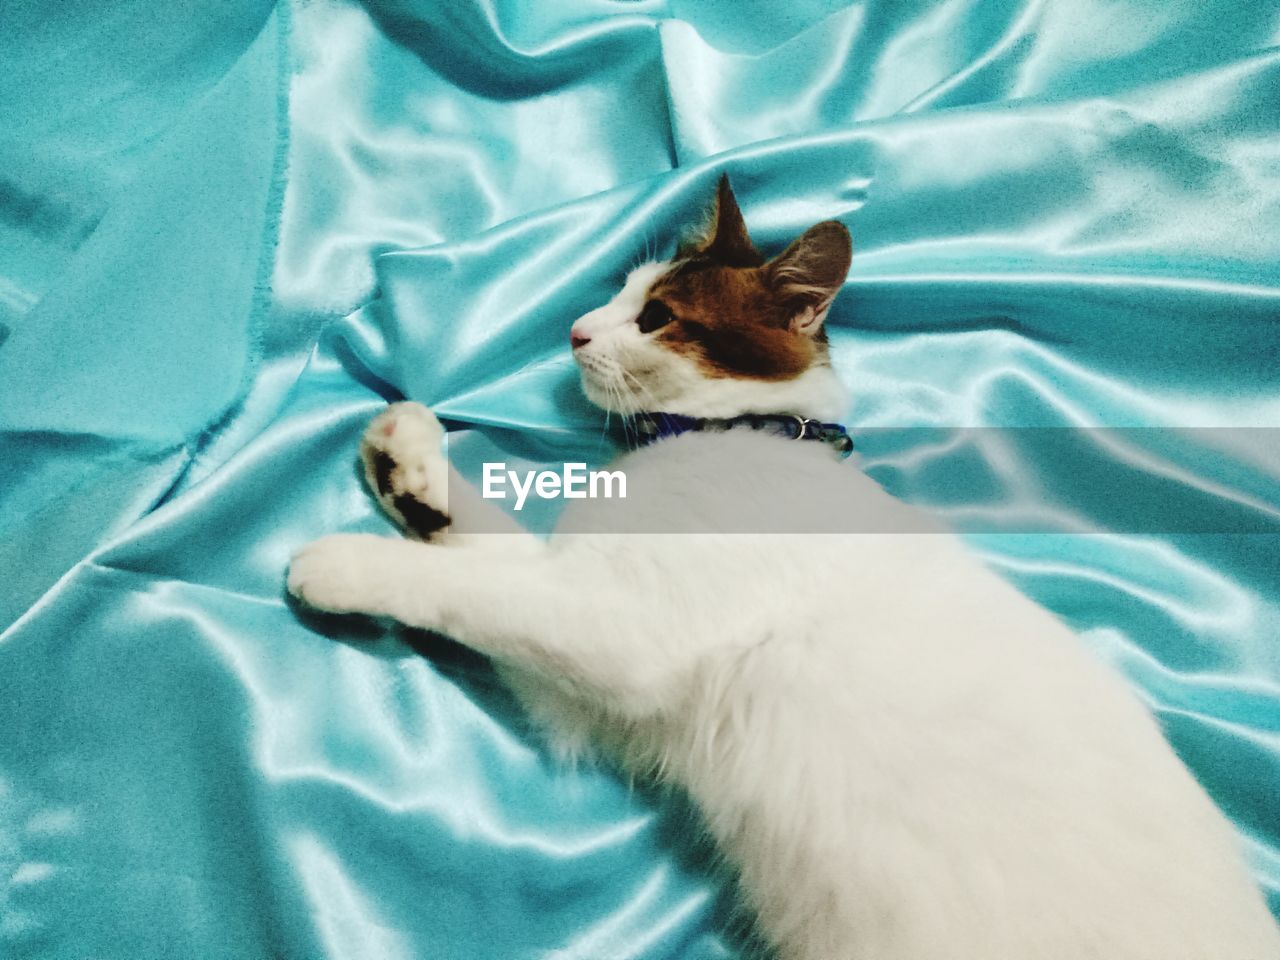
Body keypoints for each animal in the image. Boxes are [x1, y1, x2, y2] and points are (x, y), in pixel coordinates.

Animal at [290, 176, 1280, 957]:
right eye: (618, 292)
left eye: (655, 317)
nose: (573, 330)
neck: (732, 436)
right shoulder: (584, 672)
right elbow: (487, 547)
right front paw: (410, 464)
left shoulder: (620, 635)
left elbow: (466, 588)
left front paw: (341, 562)